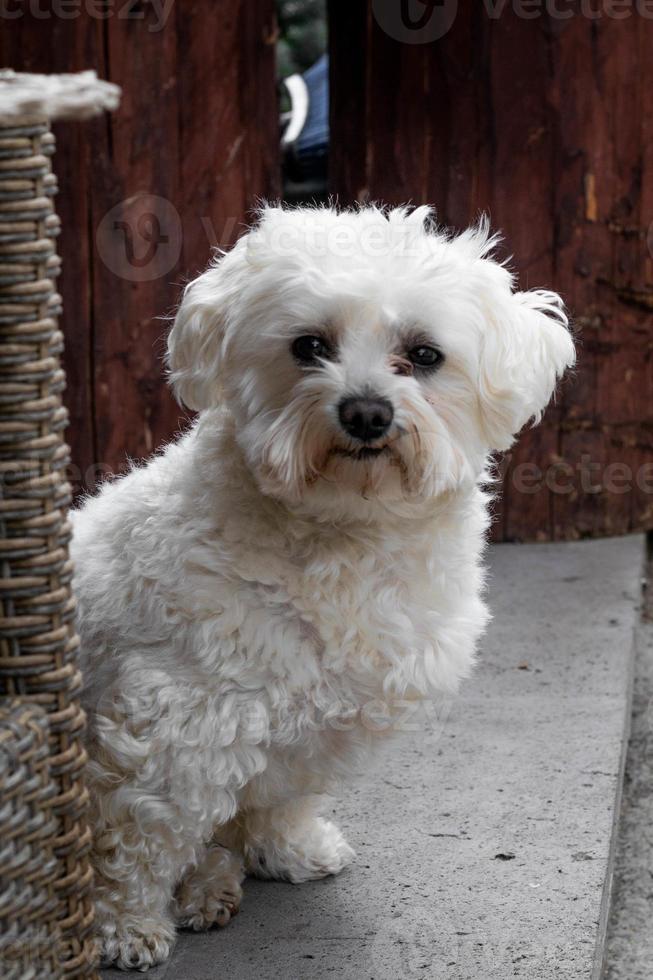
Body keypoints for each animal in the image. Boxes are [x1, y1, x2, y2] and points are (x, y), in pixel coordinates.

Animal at [69, 203, 572, 968]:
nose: (366, 412)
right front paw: (124, 925)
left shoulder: (315, 726)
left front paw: (288, 850)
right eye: (308, 346)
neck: (345, 534)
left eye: (424, 354)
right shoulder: (176, 726)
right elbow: (138, 839)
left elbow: (283, 798)